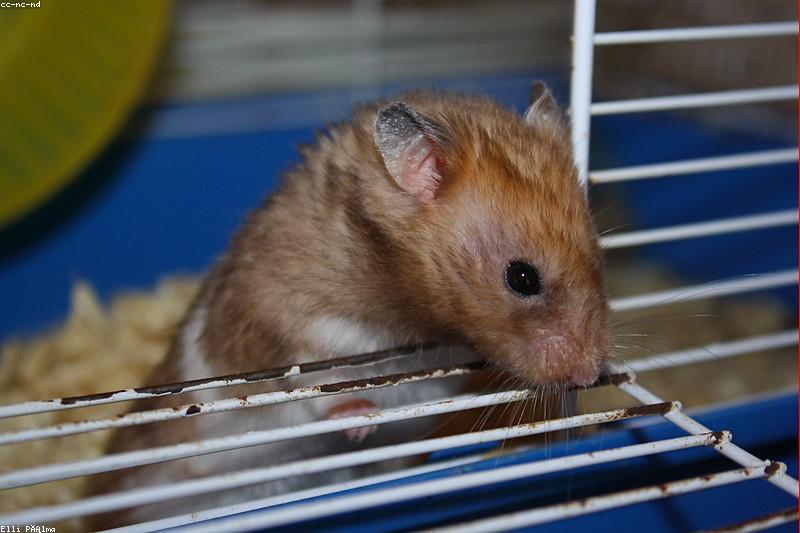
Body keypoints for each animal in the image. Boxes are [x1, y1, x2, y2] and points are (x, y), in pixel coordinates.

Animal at [86, 82, 611, 528]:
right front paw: (360, 420)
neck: (408, 322)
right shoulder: (286, 329)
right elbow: (313, 388)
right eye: (521, 277)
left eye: (598, 254)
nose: (589, 376)